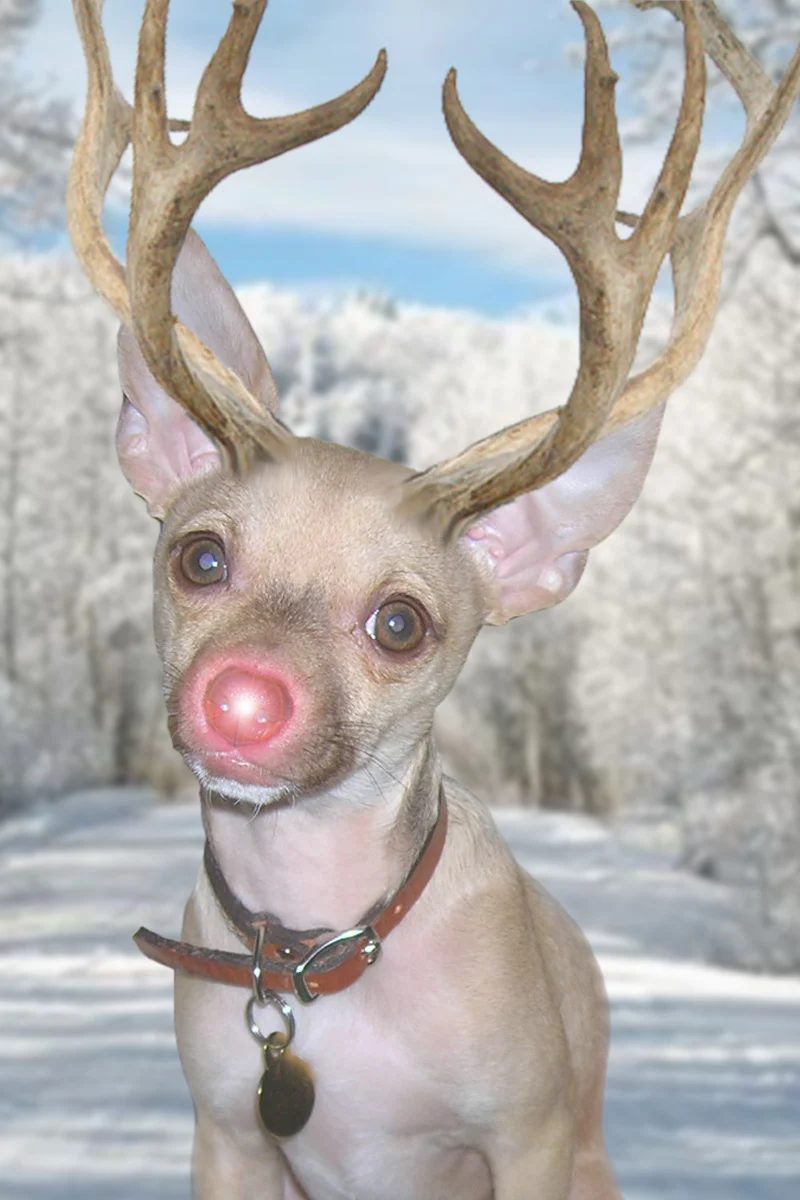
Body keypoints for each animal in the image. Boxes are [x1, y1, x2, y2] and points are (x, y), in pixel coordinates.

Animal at [67, 1, 799, 1197]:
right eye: (200, 559)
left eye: (401, 623)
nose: (241, 699)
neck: (318, 955)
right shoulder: (225, 1133)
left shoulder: (530, 1132)